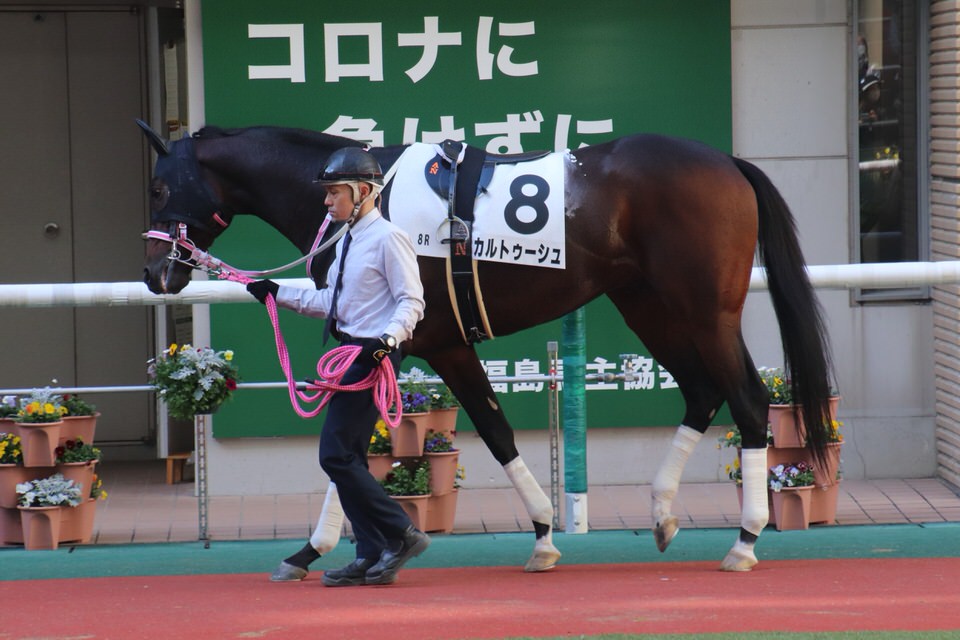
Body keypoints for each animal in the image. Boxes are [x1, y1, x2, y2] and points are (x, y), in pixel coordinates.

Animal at [141, 122, 832, 576]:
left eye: (158, 188)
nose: (154, 275)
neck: (371, 207)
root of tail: (730, 163)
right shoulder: (407, 346)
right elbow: (388, 445)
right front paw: (321, 549)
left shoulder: (417, 341)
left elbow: (442, 438)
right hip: (646, 307)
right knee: (702, 391)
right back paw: (662, 512)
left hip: (706, 313)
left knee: (747, 401)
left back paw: (745, 539)